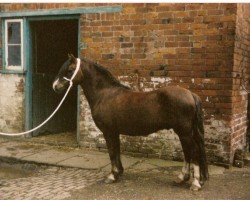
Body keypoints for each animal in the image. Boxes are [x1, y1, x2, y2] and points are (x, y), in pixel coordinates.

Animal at [53, 54, 209, 191]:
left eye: (70, 70)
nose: (55, 87)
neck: (104, 94)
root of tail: (191, 94)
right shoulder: (114, 132)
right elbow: (116, 151)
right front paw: (119, 173)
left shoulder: (108, 132)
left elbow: (112, 152)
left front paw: (112, 176)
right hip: (185, 132)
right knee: (189, 152)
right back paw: (183, 178)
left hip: (184, 132)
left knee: (193, 152)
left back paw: (195, 183)